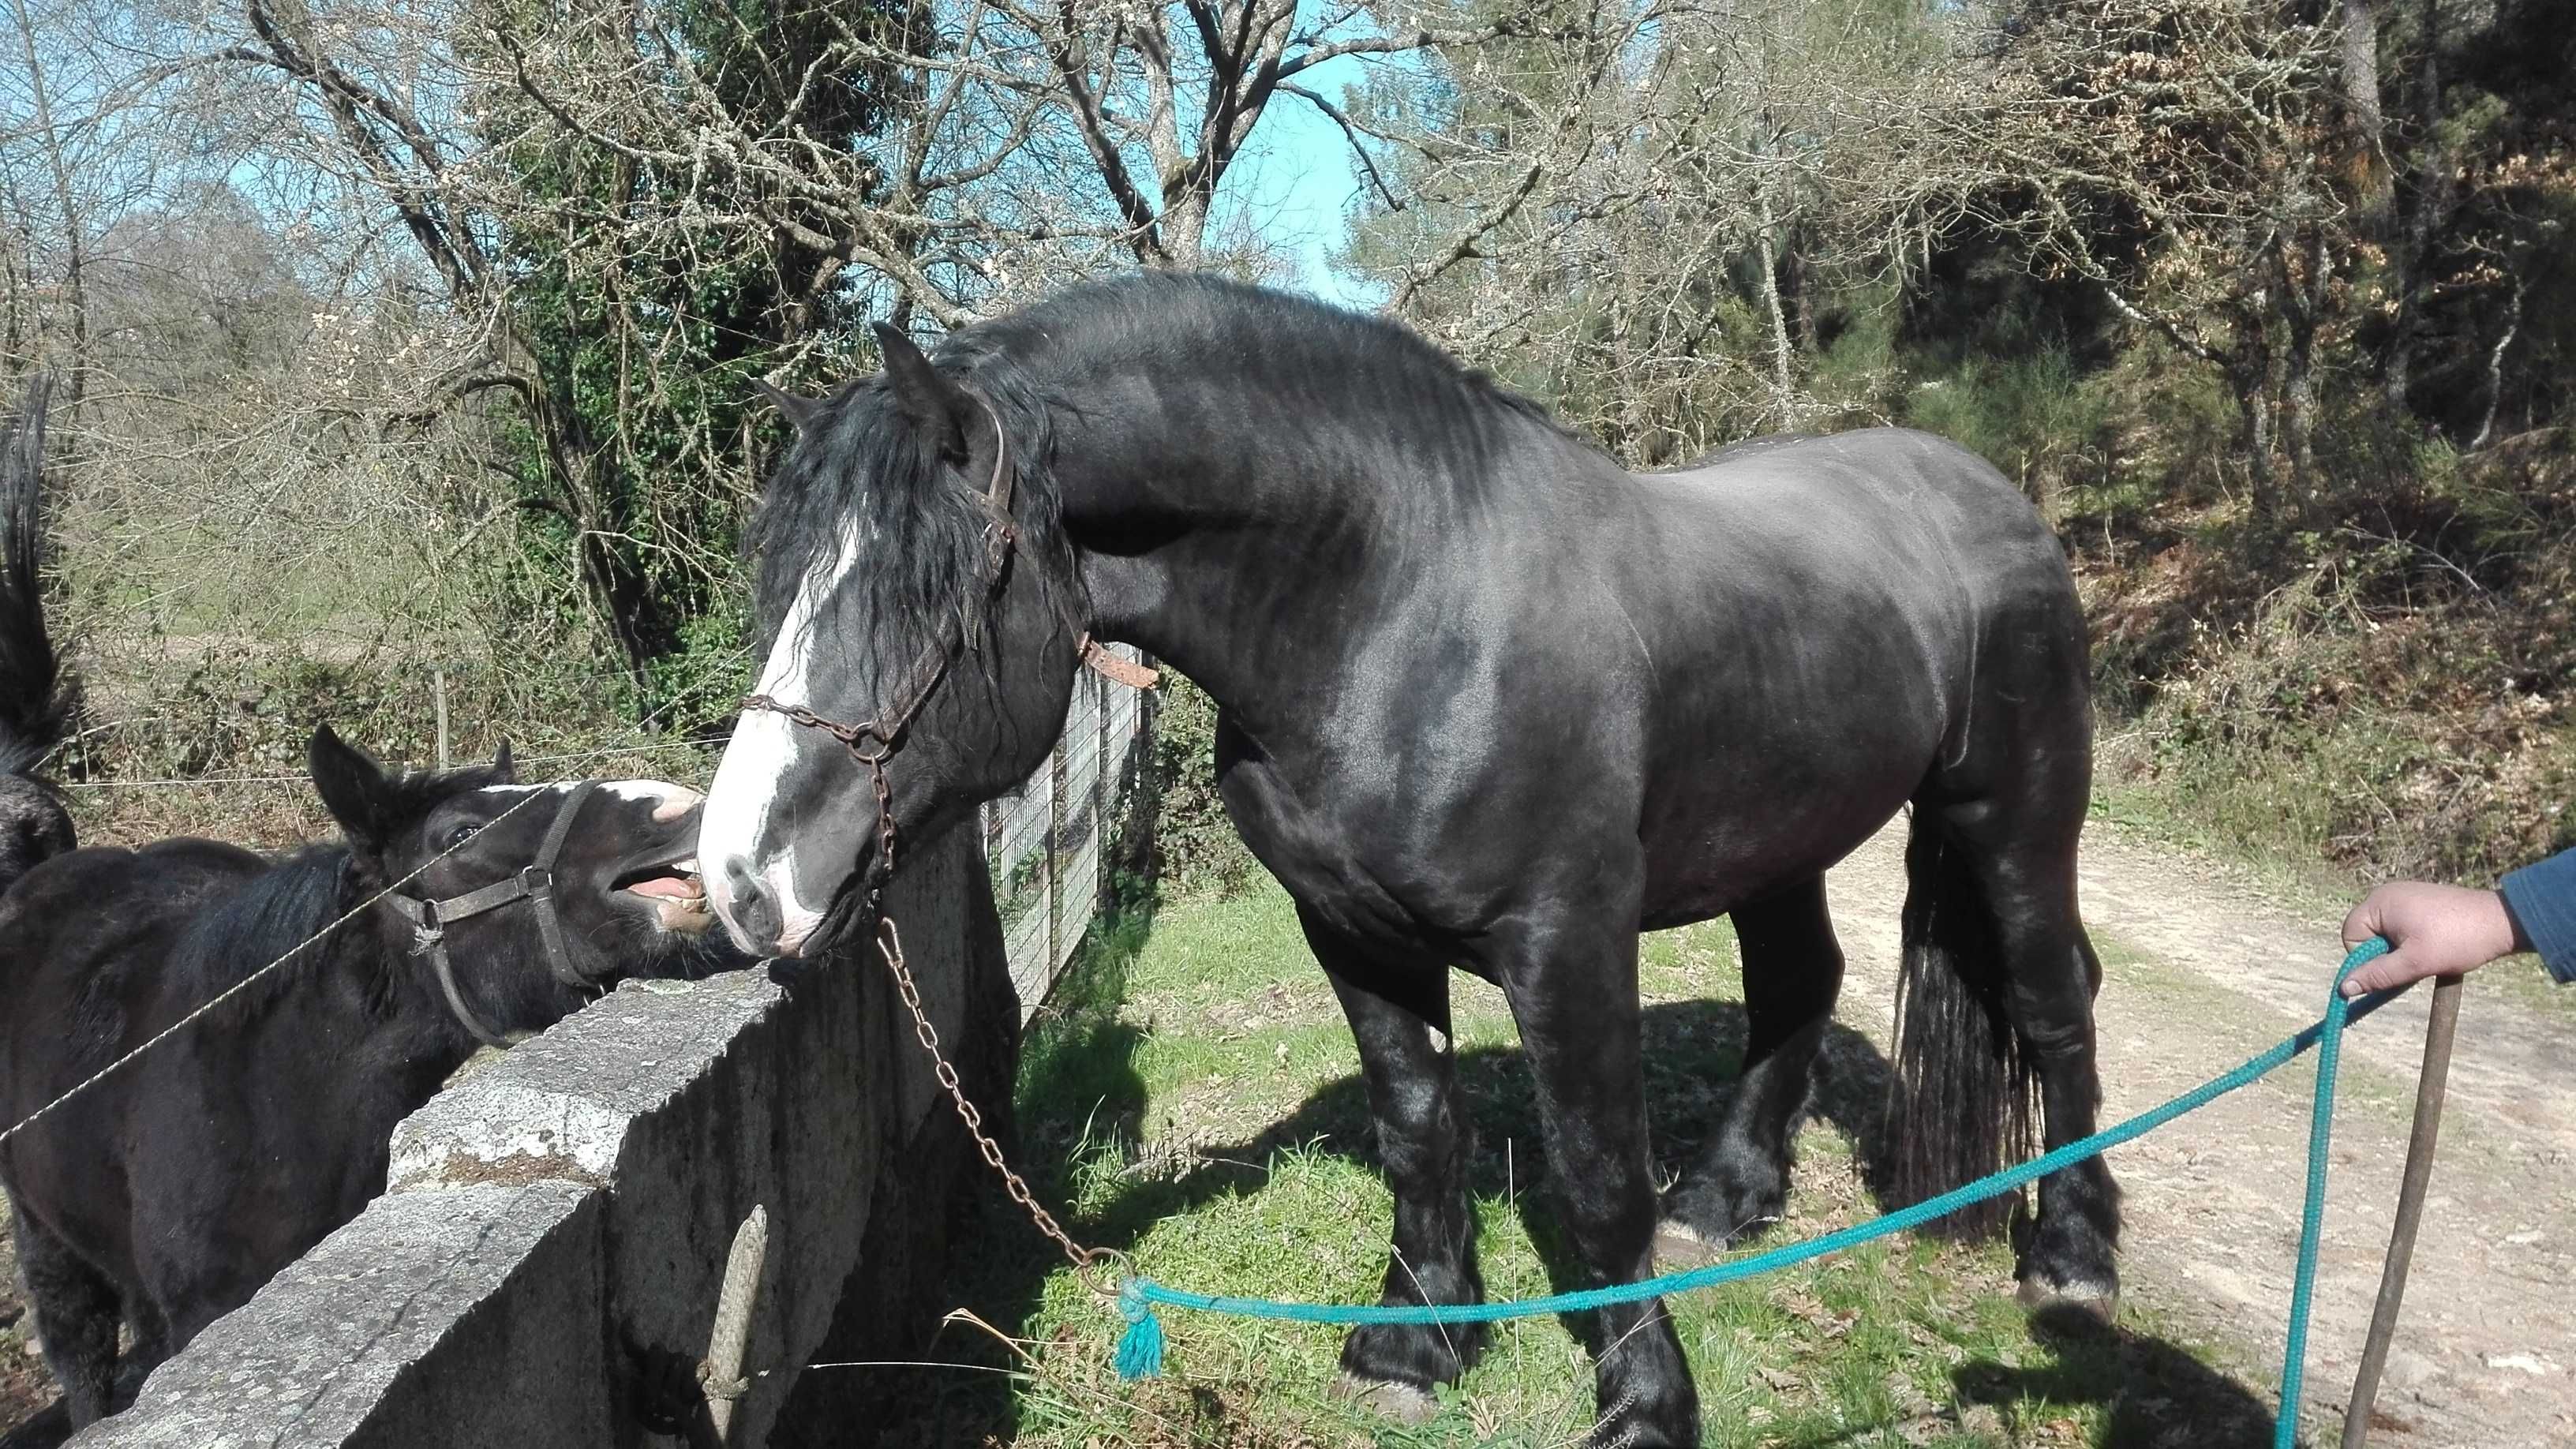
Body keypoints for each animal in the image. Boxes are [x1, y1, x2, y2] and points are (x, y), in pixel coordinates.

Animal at [700, 273, 2112, 1443]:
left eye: (923, 593)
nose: (741, 880)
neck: (1402, 609)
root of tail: (1986, 493)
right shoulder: (1352, 931)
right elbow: (1419, 1126)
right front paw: (1419, 1342)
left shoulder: (1567, 939)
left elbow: (1595, 1175)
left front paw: (1647, 1402)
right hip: (1780, 838)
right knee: (1799, 982)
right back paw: (1727, 1197)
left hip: (2012, 816)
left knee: (2055, 998)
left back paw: (2075, 1254)